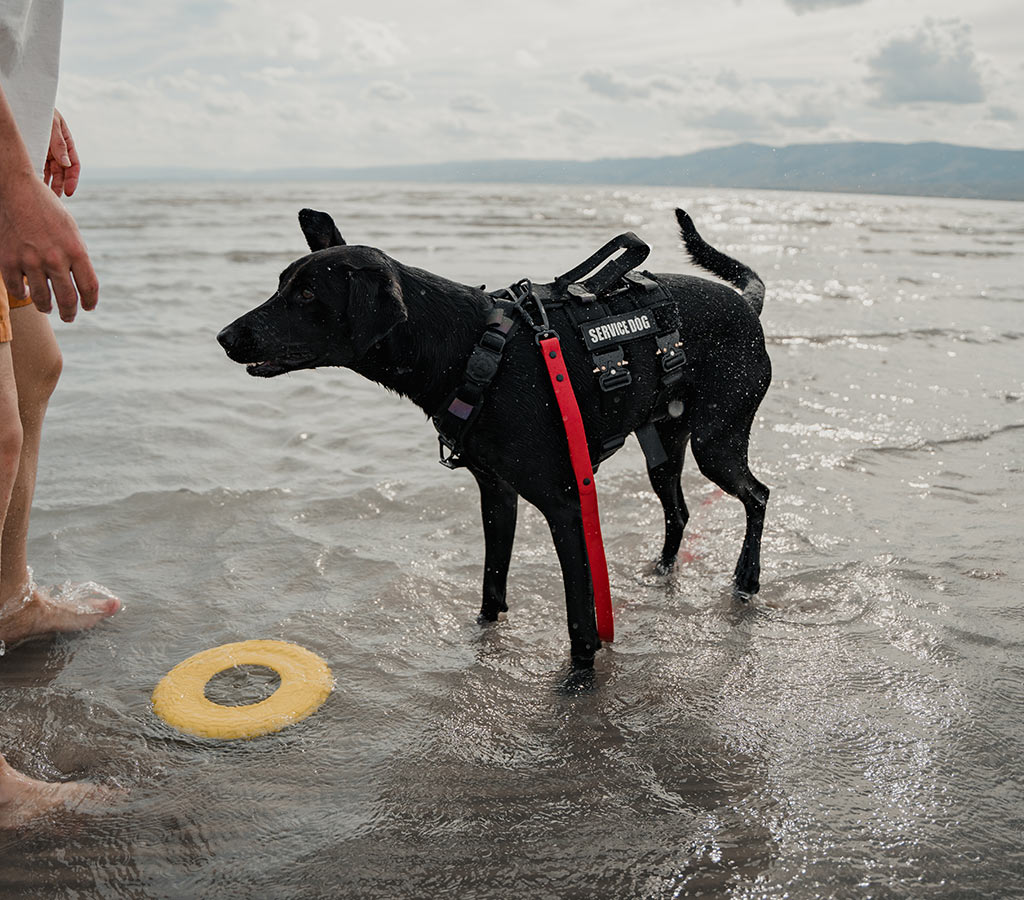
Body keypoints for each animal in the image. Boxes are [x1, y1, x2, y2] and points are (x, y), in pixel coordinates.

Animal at [220, 207, 770, 663]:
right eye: (281, 285)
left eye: (307, 294)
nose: (225, 337)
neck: (470, 349)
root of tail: (748, 305)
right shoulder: (496, 494)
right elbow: (491, 586)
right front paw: (481, 640)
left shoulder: (566, 503)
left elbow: (580, 618)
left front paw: (578, 682)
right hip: (663, 443)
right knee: (679, 508)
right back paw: (663, 571)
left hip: (716, 442)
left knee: (758, 495)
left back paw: (746, 578)